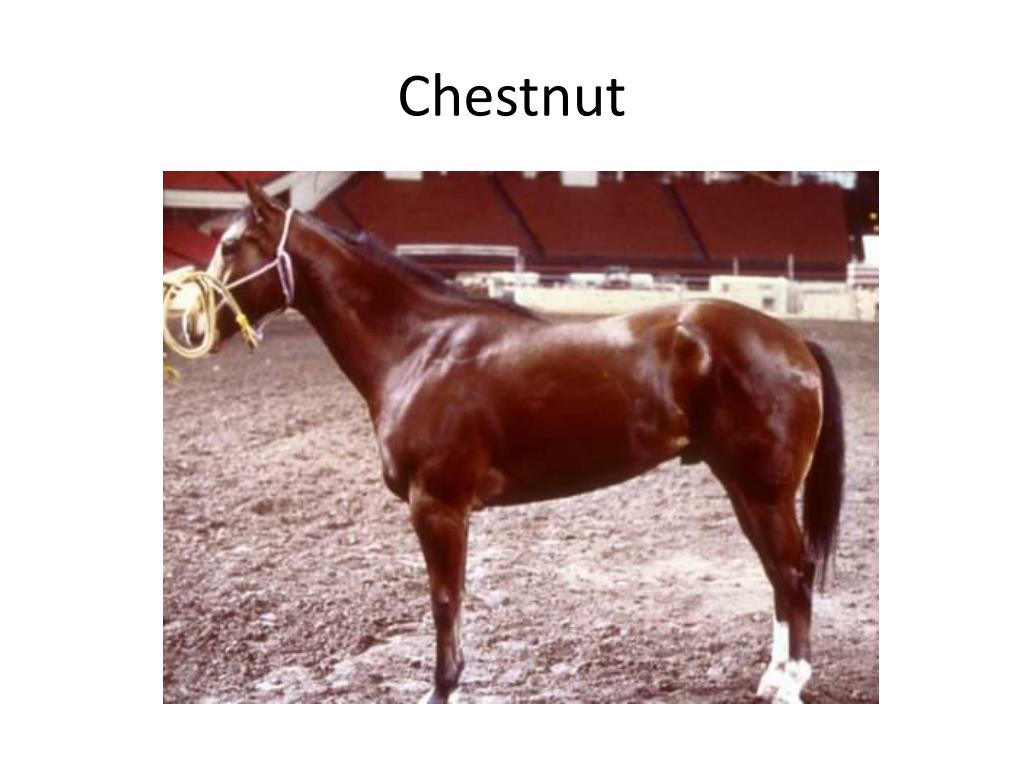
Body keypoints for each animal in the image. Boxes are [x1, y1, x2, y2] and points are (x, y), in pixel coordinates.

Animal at [186, 181, 844, 704]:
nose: (194, 326)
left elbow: (444, 598)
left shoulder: (438, 506)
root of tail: (793, 339)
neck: (421, 348)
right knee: (777, 572)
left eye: (228, 246)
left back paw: (791, 684)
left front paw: (441, 690)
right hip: (742, 487)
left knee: (792, 571)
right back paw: (773, 676)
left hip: (763, 491)